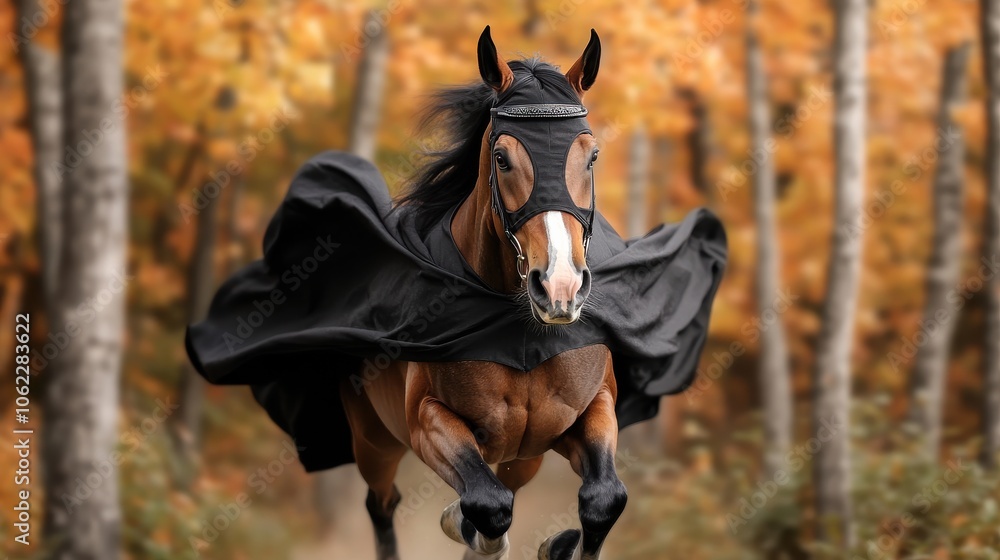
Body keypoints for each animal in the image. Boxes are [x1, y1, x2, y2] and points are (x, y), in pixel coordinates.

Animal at [339, 27, 626, 560]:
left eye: (592, 156)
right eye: (501, 158)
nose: (560, 288)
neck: (521, 336)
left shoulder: (586, 409)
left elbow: (603, 499)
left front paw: (559, 543)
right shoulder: (426, 421)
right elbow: (488, 507)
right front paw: (465, 523)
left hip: (523, 455)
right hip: (374, 440)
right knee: (383, 503)